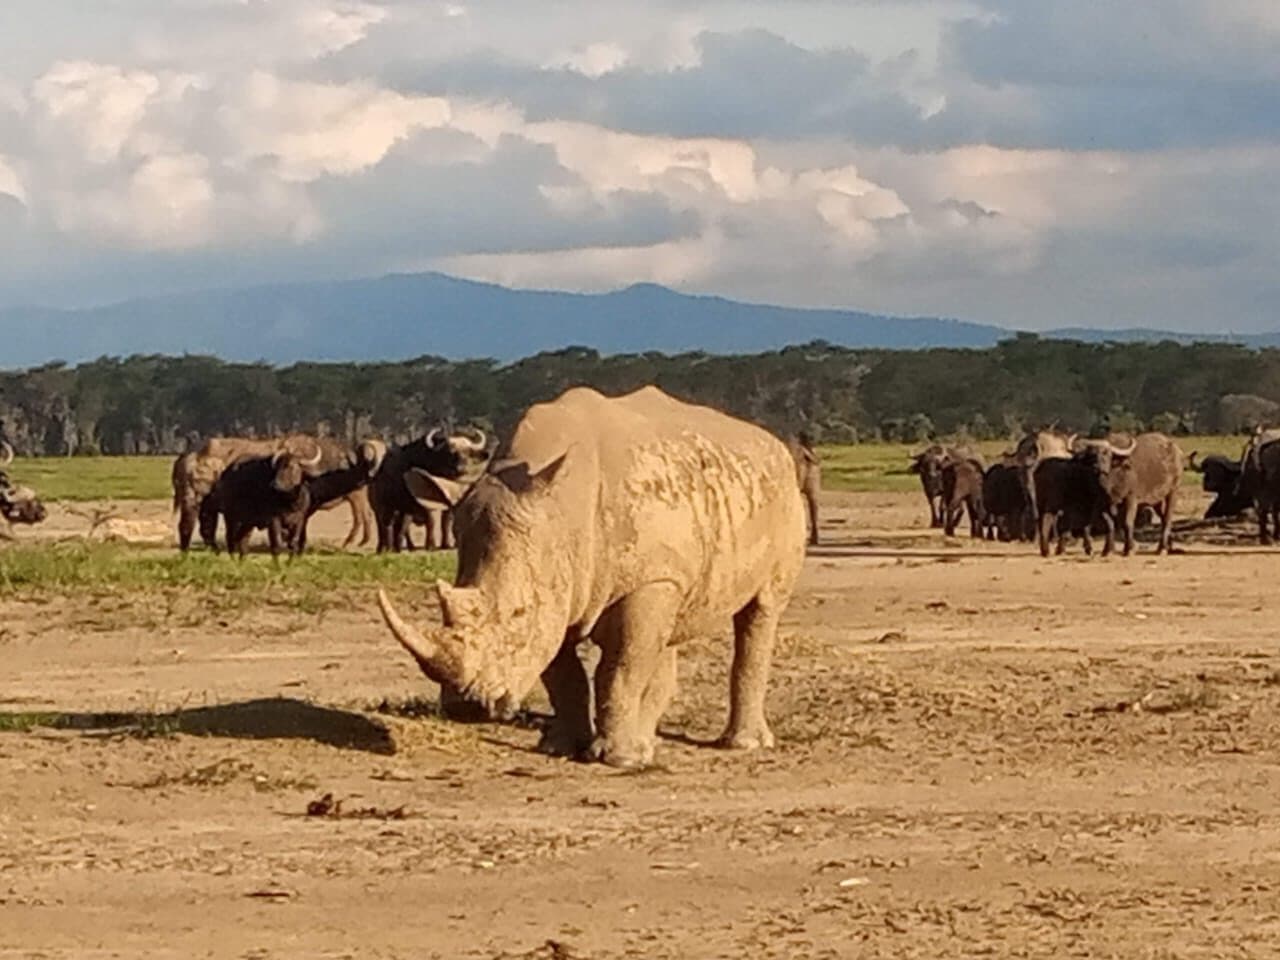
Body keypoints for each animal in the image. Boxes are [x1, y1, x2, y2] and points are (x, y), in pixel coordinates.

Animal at [376, 385, 808, 769]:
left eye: (519, 613)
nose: (467, 707)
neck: (561, 511)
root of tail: (772, 442)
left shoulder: (642, 580)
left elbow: (620, 669)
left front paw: (619, 759)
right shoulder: (563, 588)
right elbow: (564, 673)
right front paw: (562, 748)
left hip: (784, 495)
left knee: (761, 612)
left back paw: (742, 745)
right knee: (666, 630)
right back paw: (647, 743)